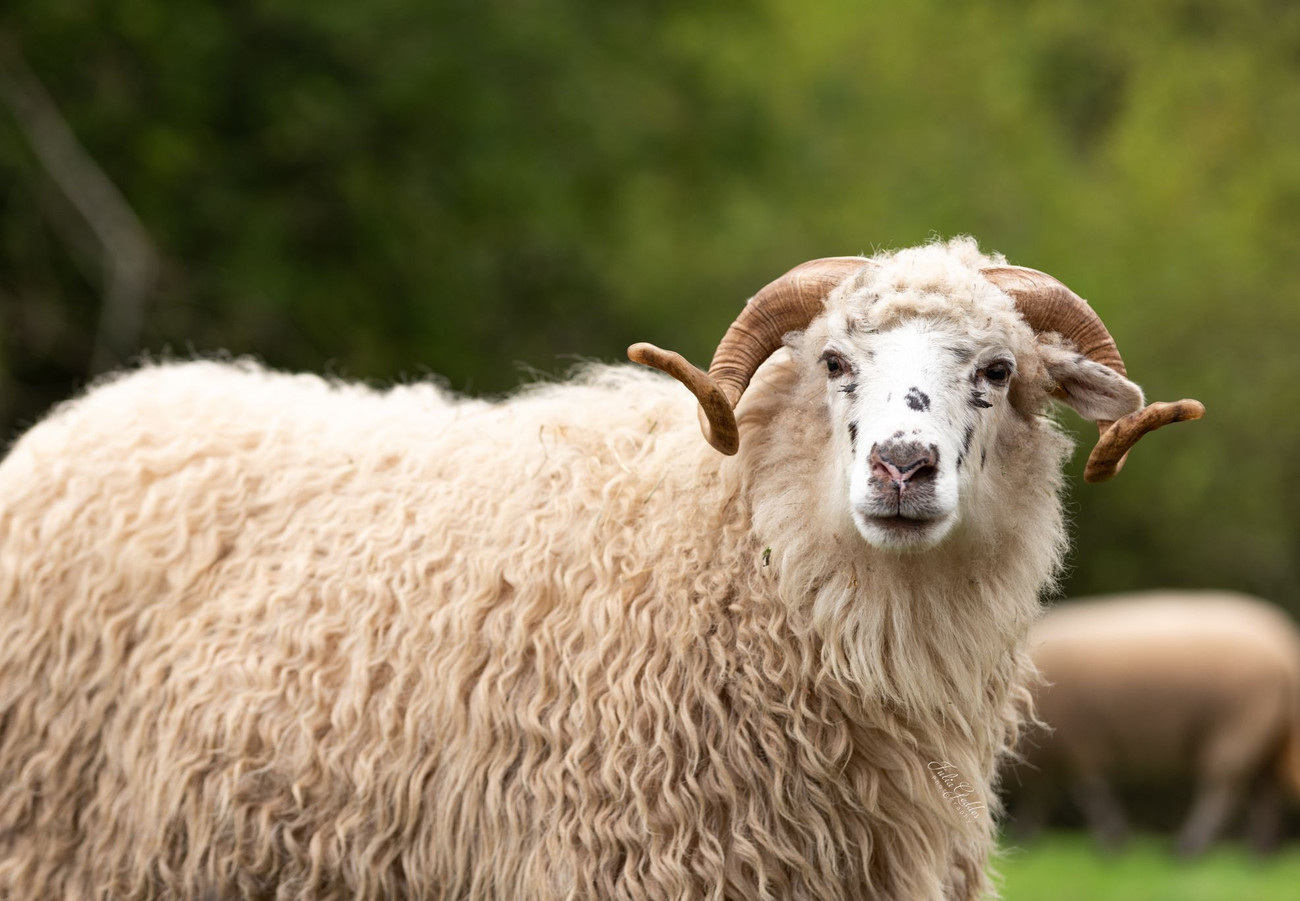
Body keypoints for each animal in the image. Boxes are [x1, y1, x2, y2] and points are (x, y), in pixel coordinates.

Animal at [1009, 591, 1300, 857]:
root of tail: (1285, 654)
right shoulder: (1059, 750)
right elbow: (1042, 793)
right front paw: (1026, 835)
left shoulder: (1081, 741)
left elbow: (1090, 793)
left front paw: (1112, 839)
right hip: (1263, 736)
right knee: (1263, 792)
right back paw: (1258, 853)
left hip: (1237, 728)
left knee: (1221, 792)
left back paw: (1189, 847)